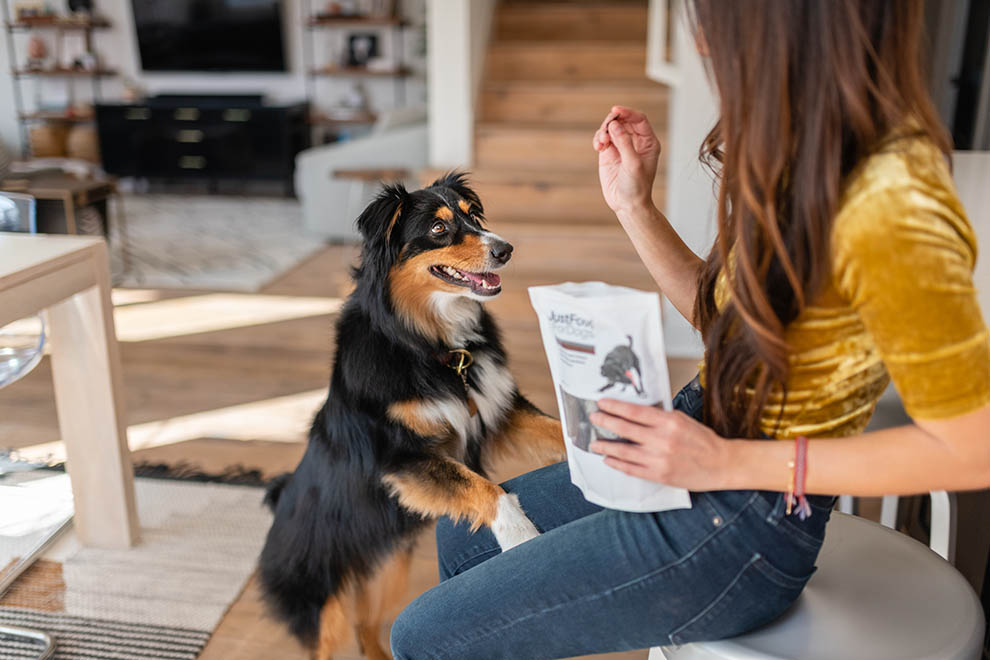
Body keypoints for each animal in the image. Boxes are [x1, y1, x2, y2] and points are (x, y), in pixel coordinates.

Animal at [256, 173, 564, 656]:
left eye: (473, 217)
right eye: (438, 229)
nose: (506, 249)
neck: (430, 343)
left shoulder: (499, 411)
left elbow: (552, 429)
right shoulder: (400, 458)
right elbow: (484, 487)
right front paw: (520, 535)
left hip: (390, 565)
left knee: (367, 628)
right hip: (323, 600)